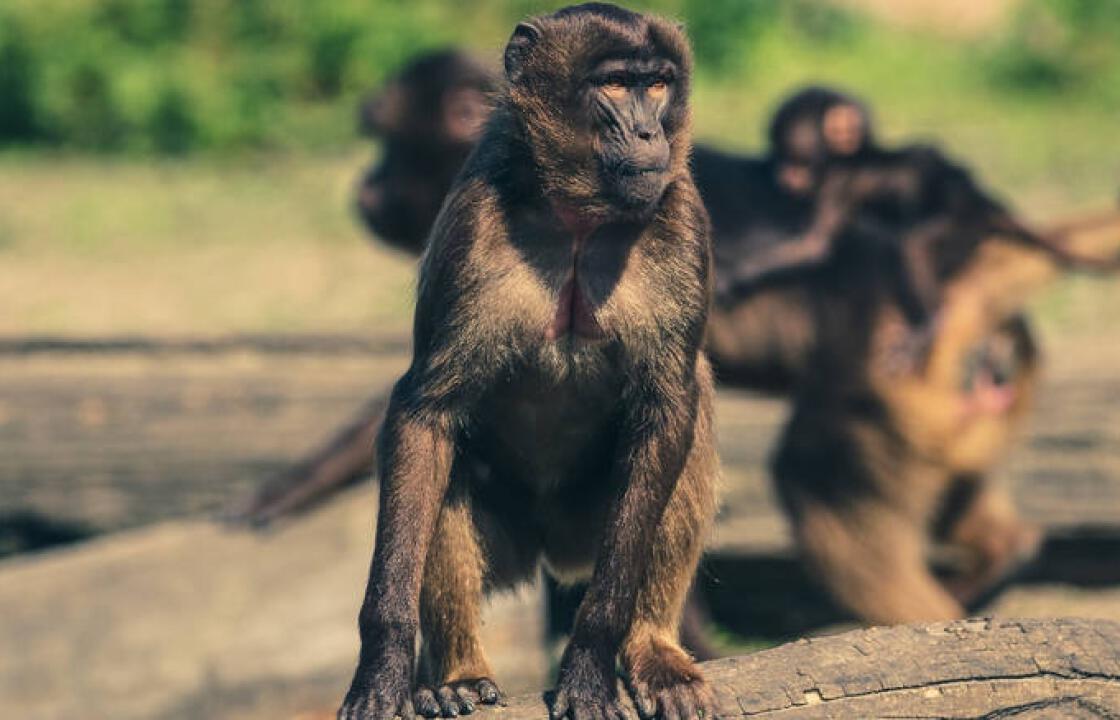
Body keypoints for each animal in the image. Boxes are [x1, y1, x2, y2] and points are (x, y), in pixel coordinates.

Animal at [333, 7, 716, 720]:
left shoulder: (682, 218)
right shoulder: (471, 223)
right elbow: (424, 415)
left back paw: (652, 648)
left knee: (692, 410)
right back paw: (458, 672)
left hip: (589, 528)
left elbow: (669, 407)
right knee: (442, 462)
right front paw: (383, 664)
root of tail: (549, 551)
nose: (649, 131)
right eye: (615, 84)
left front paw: (591, 659)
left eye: (657, 83)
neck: (578, 220)